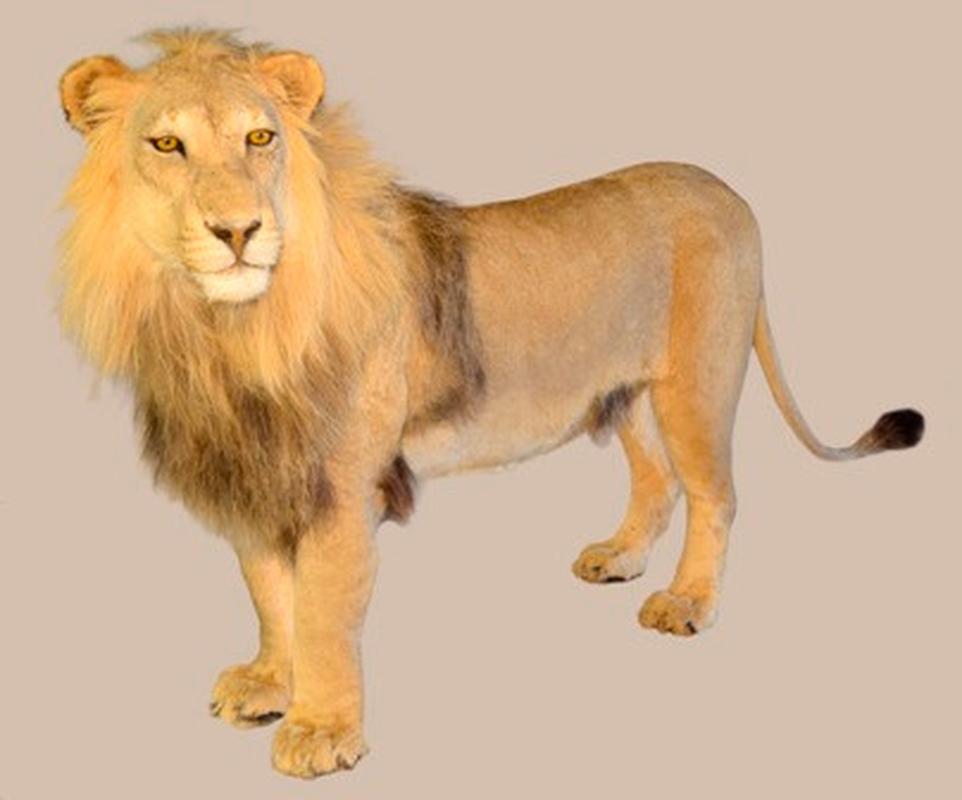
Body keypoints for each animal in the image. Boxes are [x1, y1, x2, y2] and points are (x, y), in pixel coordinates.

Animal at [57, 29, 924, 778]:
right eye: (166, 145)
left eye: (260, 138)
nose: (238, 230)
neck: (222, 332)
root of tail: (729, 191)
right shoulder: (259, 472)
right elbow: (271, 593)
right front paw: (271, 684)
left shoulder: (343, 486)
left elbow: (324, 613)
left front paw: (322, 732)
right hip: (626, 394)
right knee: (658, 480)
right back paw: (618, 558)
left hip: (697, 383)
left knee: (716, 494)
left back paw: (686, 601)